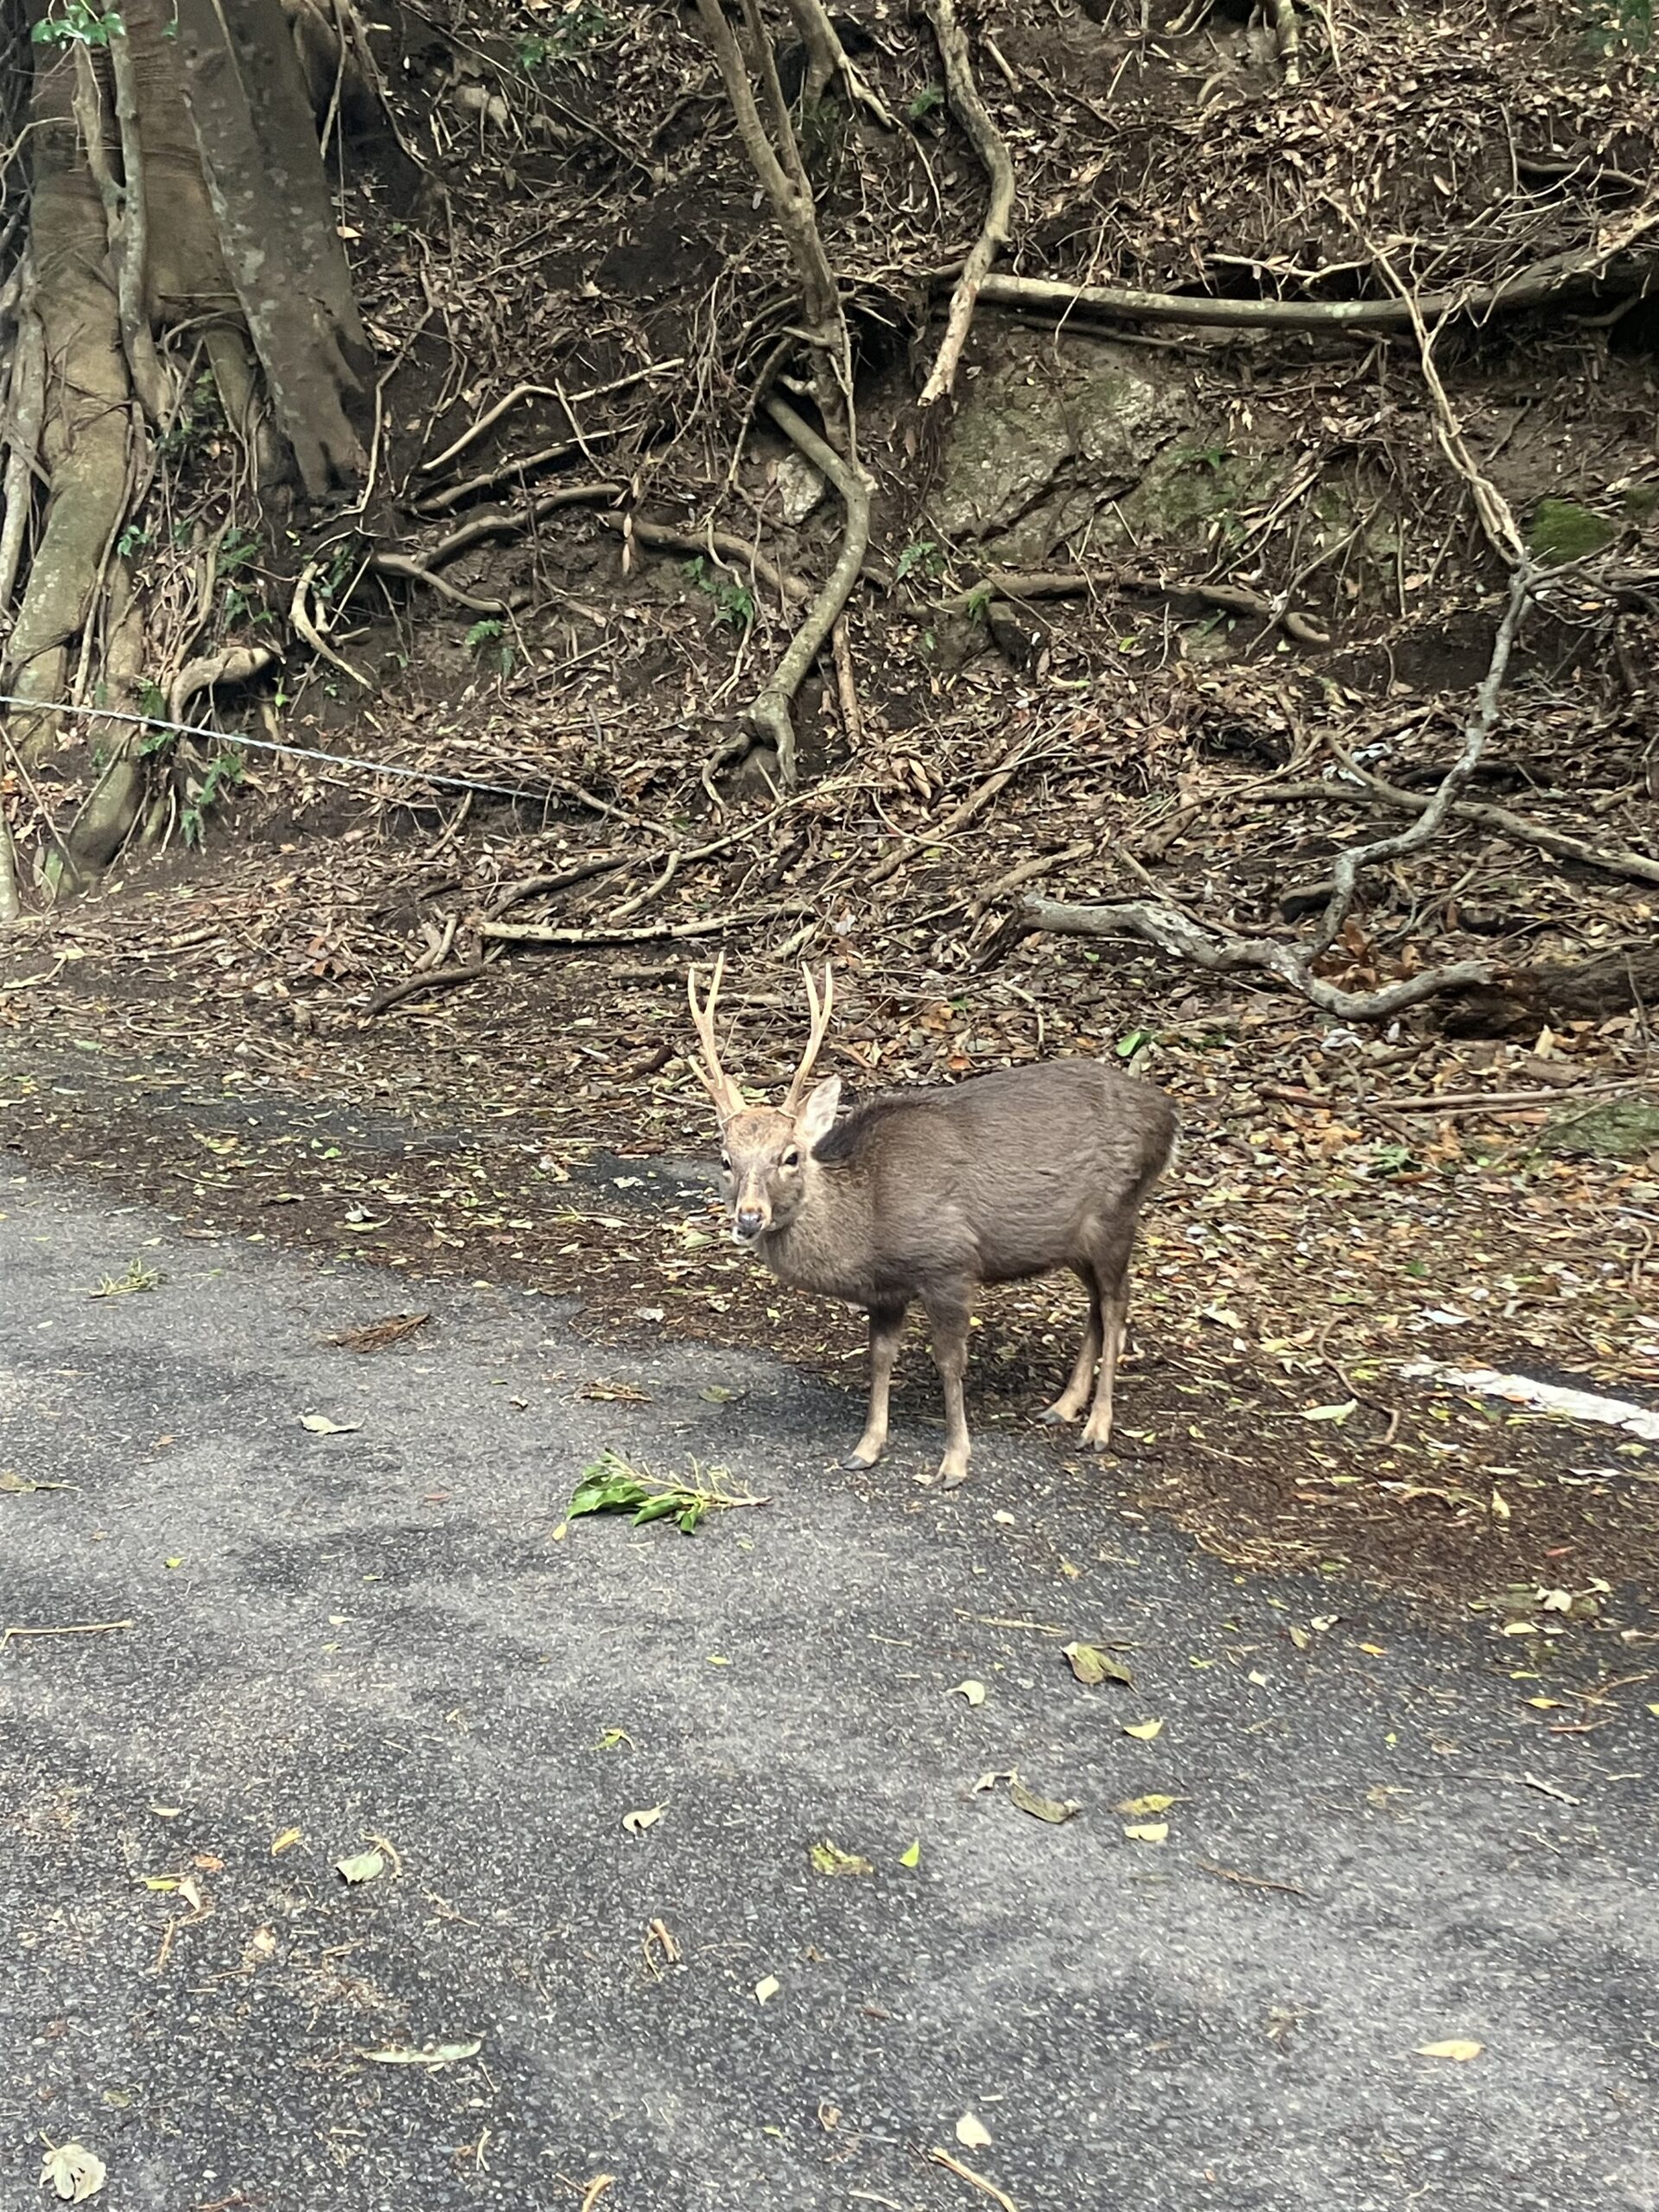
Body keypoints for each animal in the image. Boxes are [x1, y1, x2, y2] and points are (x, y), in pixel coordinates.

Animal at [685, 956, 1176, 1488]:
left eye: (790, 1156)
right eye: (726, 1160)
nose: (749, 1217)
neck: (869, 1220)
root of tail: (1168, 1114)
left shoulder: (948, 1262)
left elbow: (949, 1362)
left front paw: (954, 1462)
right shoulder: (887, 1291)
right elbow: (880, 1358)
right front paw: (866, 1447)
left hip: (1116, 1214)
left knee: (1117, 1303)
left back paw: (1097, 1427)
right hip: (1074, 1240)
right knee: (1096, 1305)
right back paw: (1063, 1406)